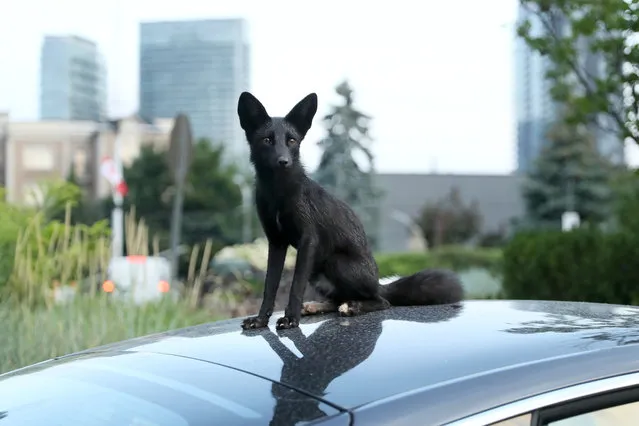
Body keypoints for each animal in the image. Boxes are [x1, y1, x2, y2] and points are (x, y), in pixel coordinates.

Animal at [238, 89, 462, 330]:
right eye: (267, 140)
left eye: (291, 140)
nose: (283, 161)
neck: (279, 193)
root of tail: (378, 282)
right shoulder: (276, 242)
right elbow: (269, 287)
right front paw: (261, 320)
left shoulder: (308, 240)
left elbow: (295, 286)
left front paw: (291, 319)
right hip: (317, 270)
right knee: (337, 300)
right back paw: (318, 306)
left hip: (334, 261)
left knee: (381, 301)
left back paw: (353, 307)